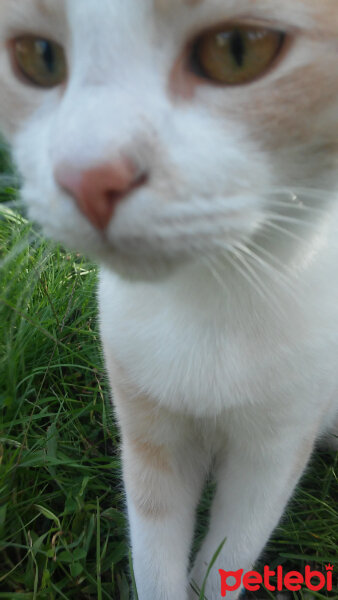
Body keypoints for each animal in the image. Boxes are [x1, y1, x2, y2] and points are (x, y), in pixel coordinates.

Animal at [0, 1, 338, 600]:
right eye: (38, 57)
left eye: (237, 48)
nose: (88, 178)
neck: (211, 300)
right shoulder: (149, 433)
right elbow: (156, 555)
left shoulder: (273, 452)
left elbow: (232, 551)